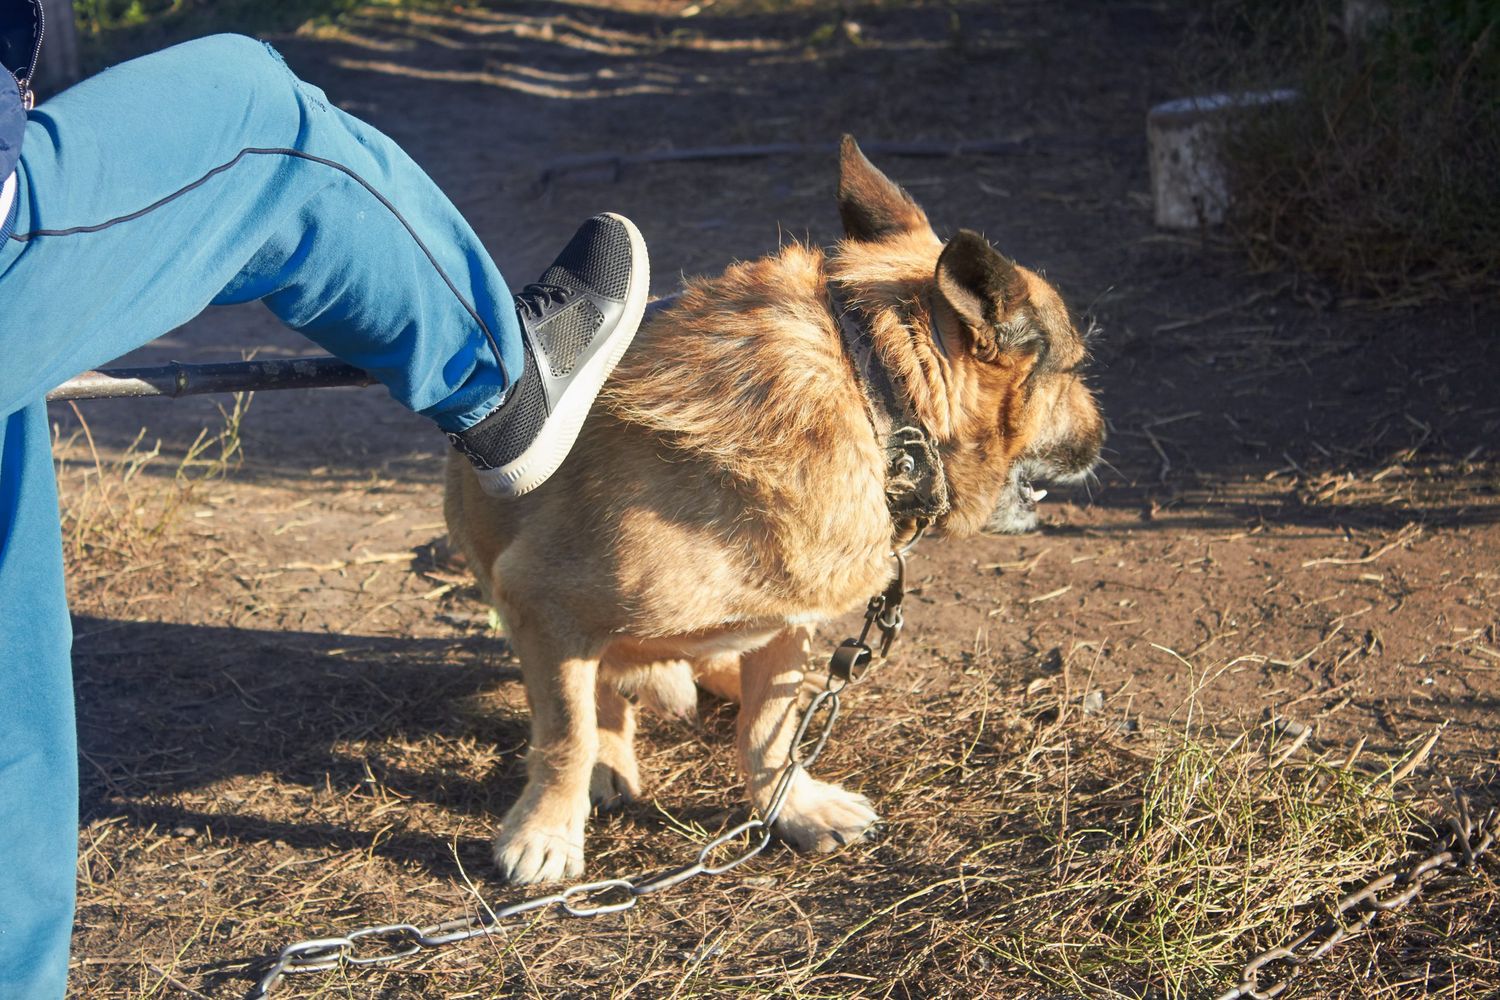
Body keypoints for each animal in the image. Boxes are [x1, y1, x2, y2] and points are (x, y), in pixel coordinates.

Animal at [441, 138, 1104, 881]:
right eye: (1076, 369)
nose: (1104, 433)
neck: (877, 393)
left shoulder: (791, 620)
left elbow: (769, 732)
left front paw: (792, 807)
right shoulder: (541, 604)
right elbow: (567, 733)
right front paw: (549, 828)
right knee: (604, 691)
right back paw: (609, 763)